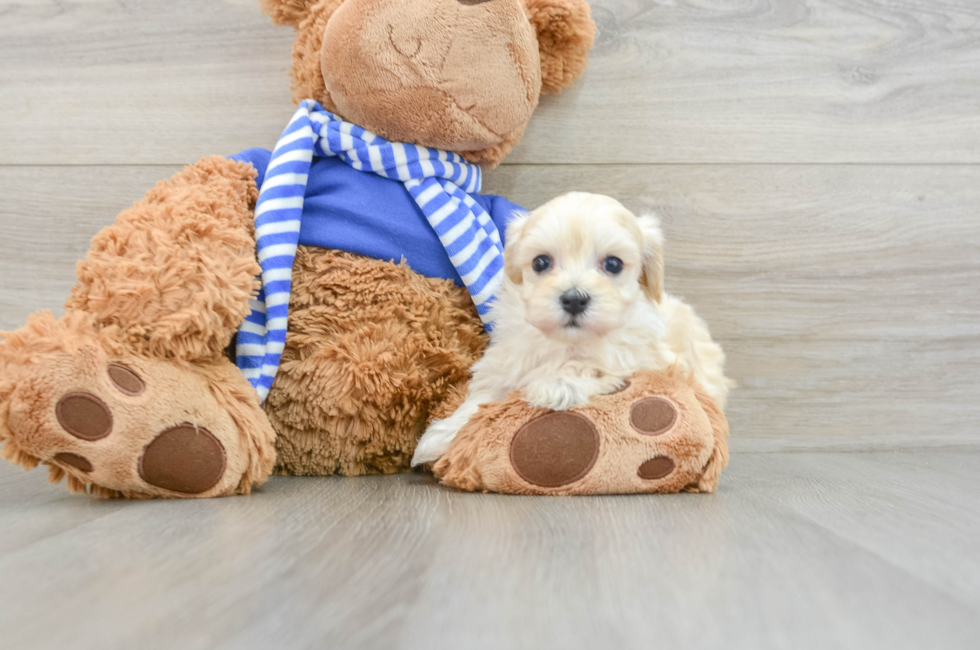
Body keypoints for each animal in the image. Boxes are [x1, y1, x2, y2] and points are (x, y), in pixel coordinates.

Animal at [410, 192, 732, 466]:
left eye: (613, 264)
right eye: (541, 262)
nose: (574, 299)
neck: (565, 341)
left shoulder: (639, 358)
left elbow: (590, 365)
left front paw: (556, 384)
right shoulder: (505, 363)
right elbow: (480, 400)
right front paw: (442, 434)